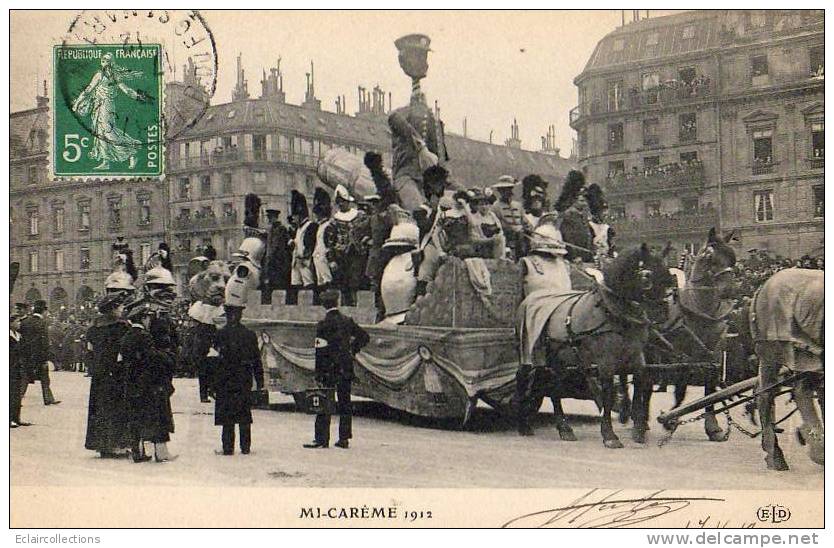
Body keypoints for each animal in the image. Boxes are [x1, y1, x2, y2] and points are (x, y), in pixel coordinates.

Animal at [516, 242, 672, 448]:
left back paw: (563, 428)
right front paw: (610, 435)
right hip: (528, 353)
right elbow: (608, 394)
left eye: (667, 275)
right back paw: (524, 424)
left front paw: (638, 429)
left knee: (552, 387)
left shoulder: (635, 357)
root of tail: (529, 300)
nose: (664, 312)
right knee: (524, 379)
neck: (612, 311)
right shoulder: (606, 362)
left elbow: (640, 384)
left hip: (558, 360)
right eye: (647, 277)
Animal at [632, 226, 736, 440]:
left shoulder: (713, 353)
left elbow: (709, 388)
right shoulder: (682, 353)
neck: (700, 309)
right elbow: (679, 388)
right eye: (710, 258)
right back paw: (639, 422)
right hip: (649, 349)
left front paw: (712, 427)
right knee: (644, 380)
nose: (730, 289)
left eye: (733, 258)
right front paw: (669, 420)